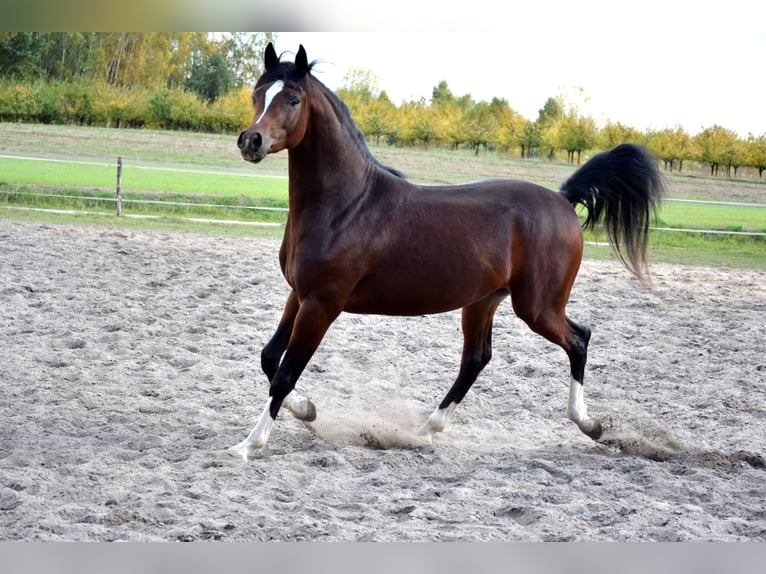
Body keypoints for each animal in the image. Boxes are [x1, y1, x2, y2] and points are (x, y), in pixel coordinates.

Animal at [230, 43, 665, 460]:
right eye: (257, 93)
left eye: (293, 99)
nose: (251, 141)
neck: (346, 204)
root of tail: (562, 199)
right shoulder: (299, 294)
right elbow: (270, 357)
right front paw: (308, 410)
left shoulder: (322, 303)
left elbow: (285, 373)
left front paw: (250, 445)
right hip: (483, 301)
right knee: (477, 359)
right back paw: (425, 431)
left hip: (538, 307)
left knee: (578, 339)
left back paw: (590, 425)